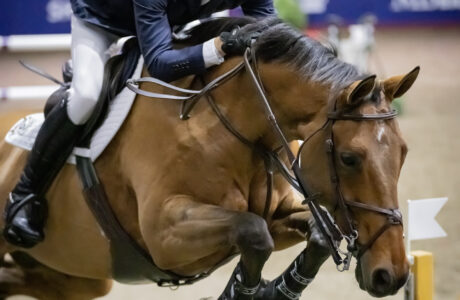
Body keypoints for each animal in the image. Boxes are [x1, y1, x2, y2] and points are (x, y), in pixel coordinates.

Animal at [0, 17, 418, 298]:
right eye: (349, 158)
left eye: (403, 154)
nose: (392, 275)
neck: (236, 127)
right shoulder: (164, 232)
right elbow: (253, 232)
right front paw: (244, 292)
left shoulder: (280, 212)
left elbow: (314, 232)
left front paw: (270, 289)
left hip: (78, 277)